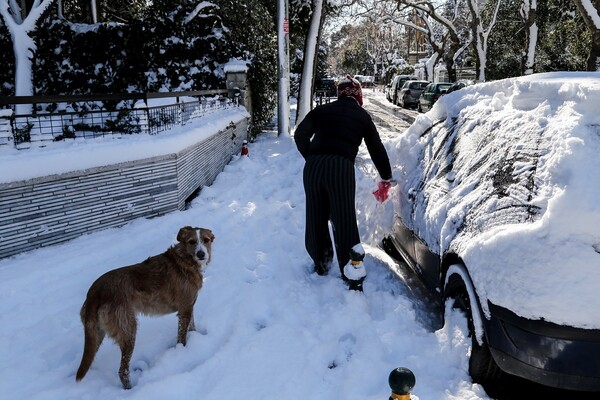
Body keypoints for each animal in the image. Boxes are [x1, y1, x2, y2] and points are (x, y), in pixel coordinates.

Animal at [75, 227, 216, 390]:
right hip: (128, 330)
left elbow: (192, 327)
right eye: (192, 241)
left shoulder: (188, 306)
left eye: (206, 240)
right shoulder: (185, 309)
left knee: (91, 357)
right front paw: (183, 352)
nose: (201, 254)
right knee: (122, 370)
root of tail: (95, 292)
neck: (184, 260)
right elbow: (182, 338)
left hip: (96, 333)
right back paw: (130, 389)